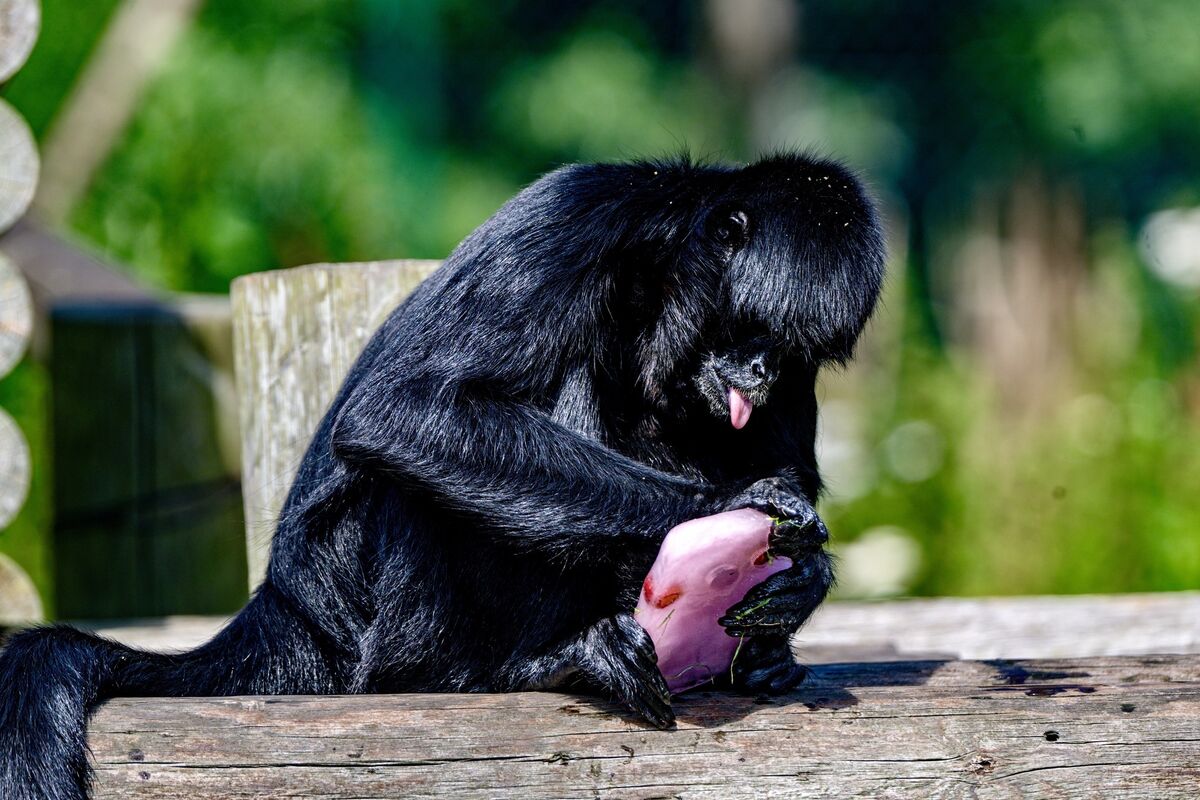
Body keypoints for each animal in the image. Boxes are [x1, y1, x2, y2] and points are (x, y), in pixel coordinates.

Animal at [0, 152, 884, 800]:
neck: (658, 271)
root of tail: (286, 608)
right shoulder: (573, 221)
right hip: (373, 605)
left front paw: (801, 580)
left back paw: (758, 659)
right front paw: (735, 512)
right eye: (752, 328)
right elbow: (397, 413)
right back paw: (541, 663)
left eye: (790, 350)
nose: (762, 369)